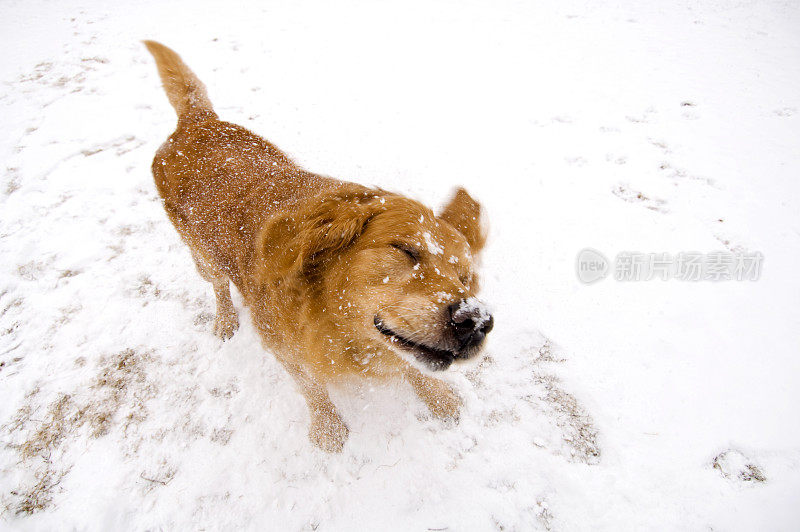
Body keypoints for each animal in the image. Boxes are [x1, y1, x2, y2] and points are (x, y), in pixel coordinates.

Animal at [144, 41, 494, 450]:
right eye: (404, 250)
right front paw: (328, 429)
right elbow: (312, 386)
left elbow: (411, 365)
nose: (477, 320)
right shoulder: (285, 347)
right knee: (217, 285)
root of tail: (196, 121)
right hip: (203, 255)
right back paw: (226, 319)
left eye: (465, 278)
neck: (329, 316)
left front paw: (438, 397)